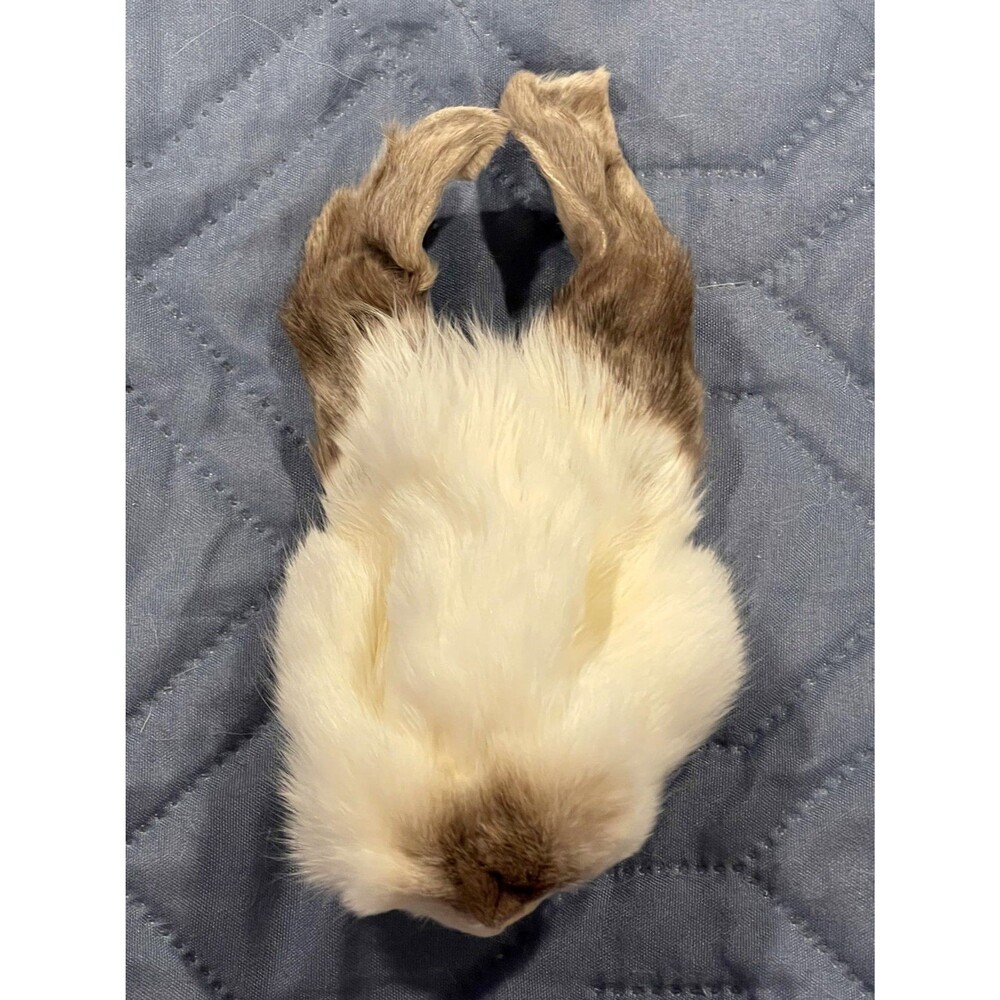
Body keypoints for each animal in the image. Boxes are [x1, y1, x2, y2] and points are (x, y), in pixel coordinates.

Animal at [273, 68, 745, 937]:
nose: (499, 914)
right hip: (633, 337)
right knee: (608, 224)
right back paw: (543, 105)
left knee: (368, 248)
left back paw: (510, 115)